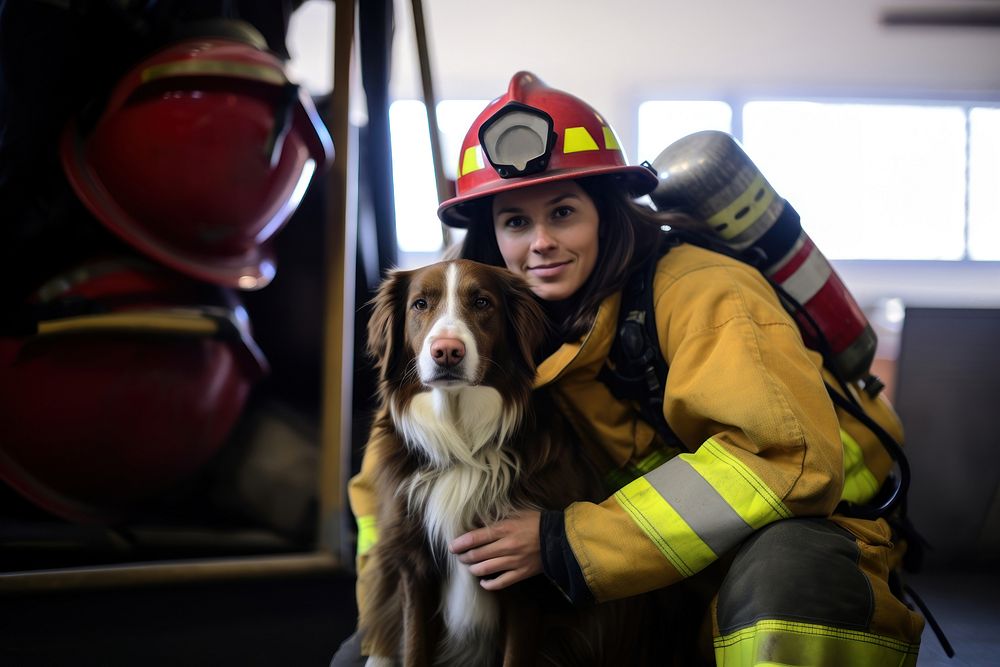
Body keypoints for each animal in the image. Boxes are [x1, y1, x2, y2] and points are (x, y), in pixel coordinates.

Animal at [358, 260, 664, 667]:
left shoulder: (524, 581)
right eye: (420, 304)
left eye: (482, 302)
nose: (447, 352)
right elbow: (414, 646)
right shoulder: (414, 566)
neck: (462, 442)